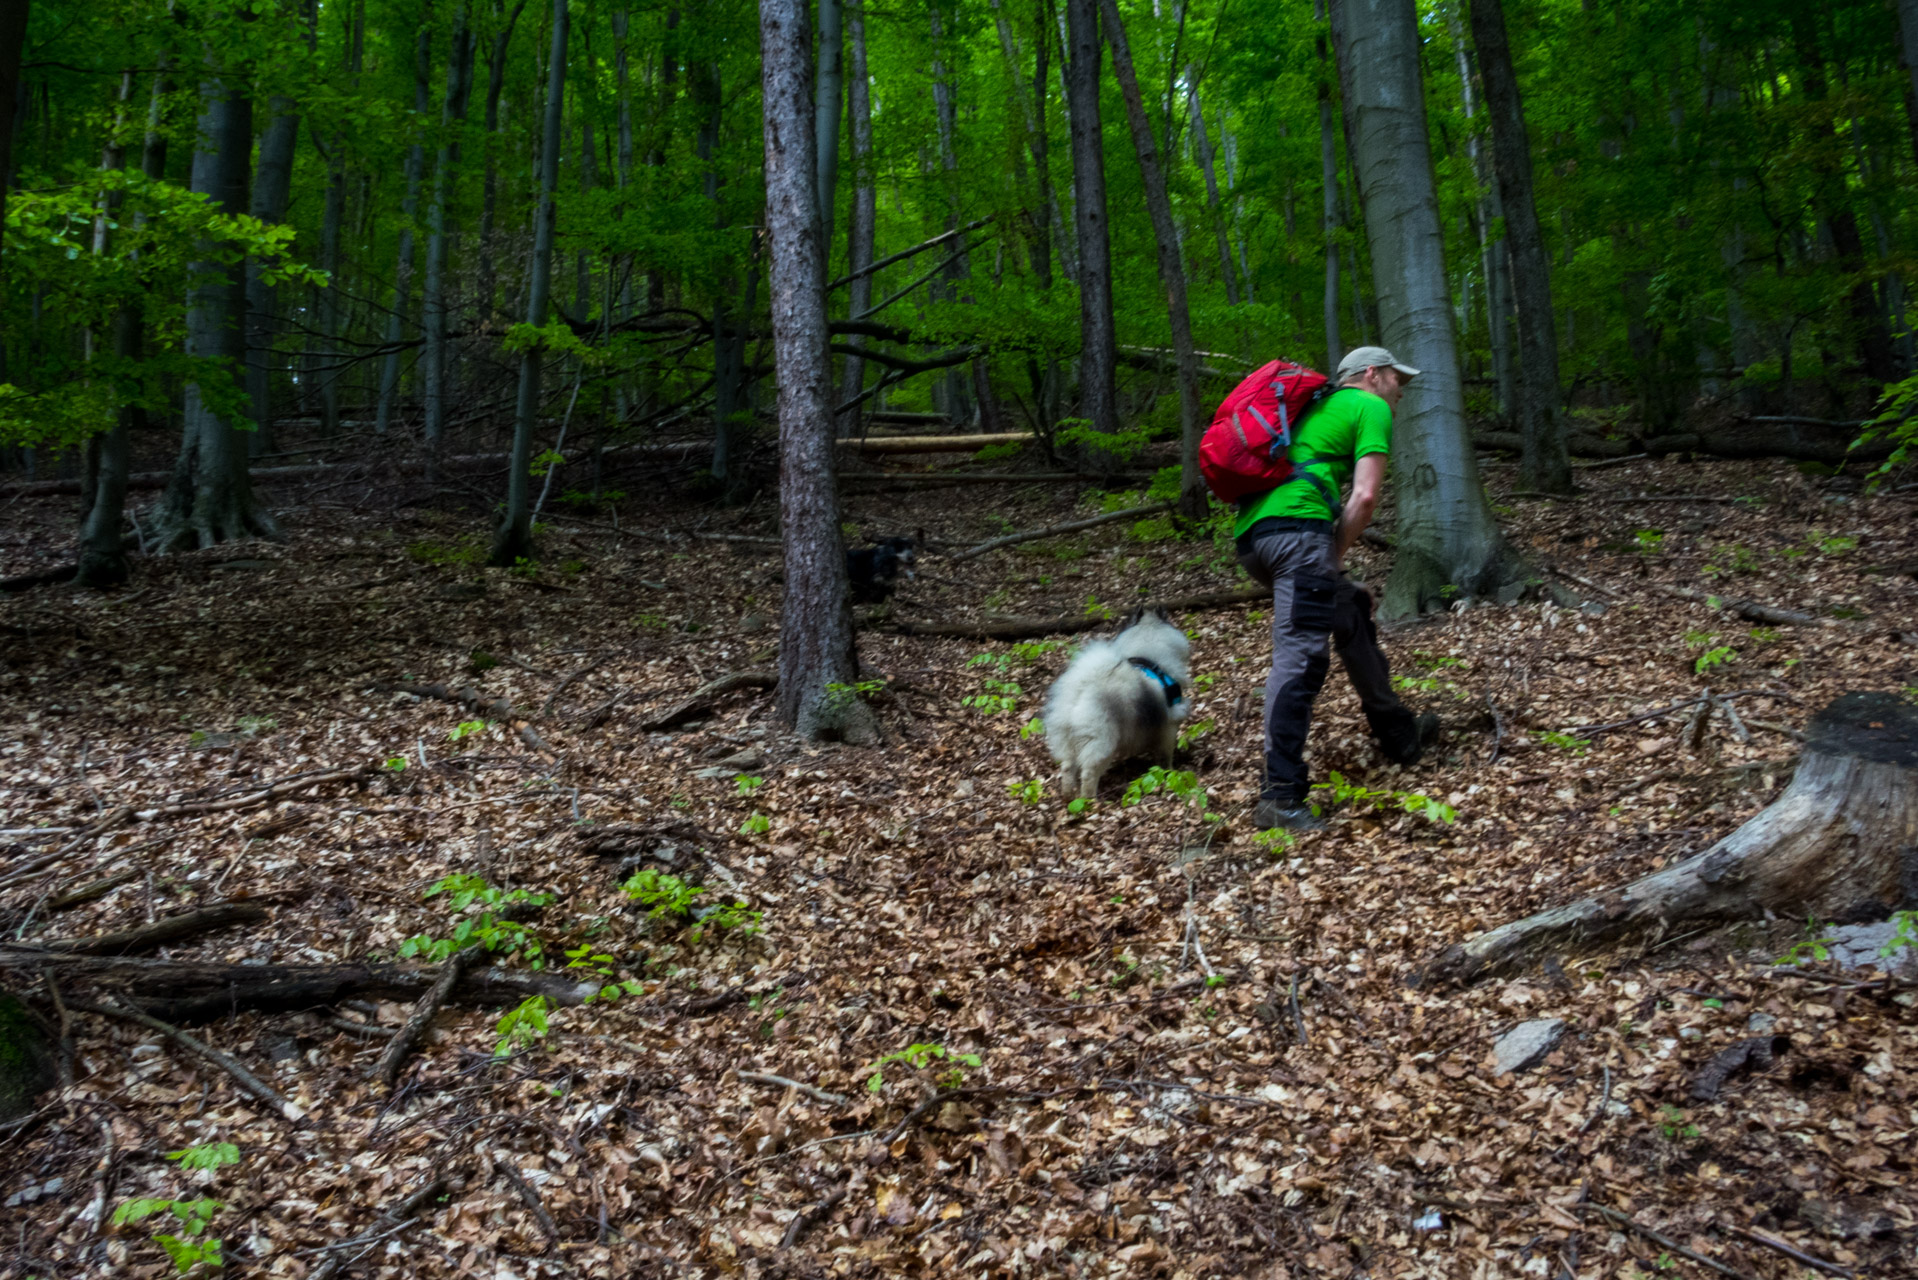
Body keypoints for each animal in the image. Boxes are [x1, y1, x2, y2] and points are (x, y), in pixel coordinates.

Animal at [1043, 610, 1189, 802]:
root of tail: (1080, 692)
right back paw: (1091, 800)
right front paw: (1170, 771)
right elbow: (1166, 755)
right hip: (1101, 744)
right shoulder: (1168, 728)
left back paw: (1069, 796)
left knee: (1067, 768)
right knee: (1088, 774)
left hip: (1069, 742)